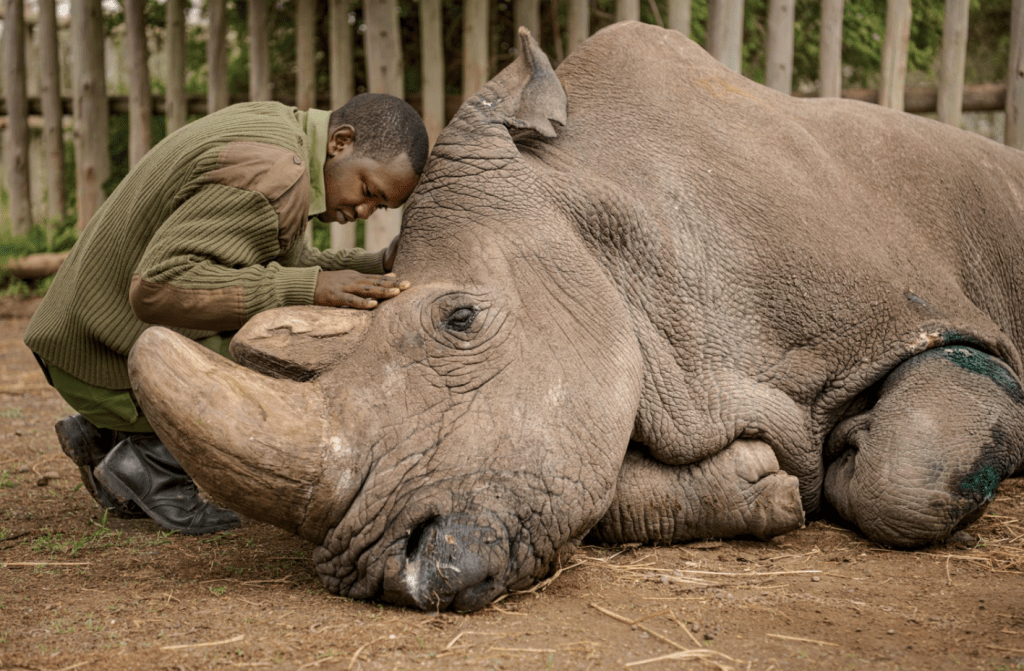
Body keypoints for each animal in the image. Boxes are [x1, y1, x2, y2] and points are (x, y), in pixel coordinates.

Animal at [128, 22, 1024, 612]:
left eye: (460, 319)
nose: (382, 571)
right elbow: (595, 486)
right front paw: (764, 484)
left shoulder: (916, 321)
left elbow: (906, 474)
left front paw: (851, 450)